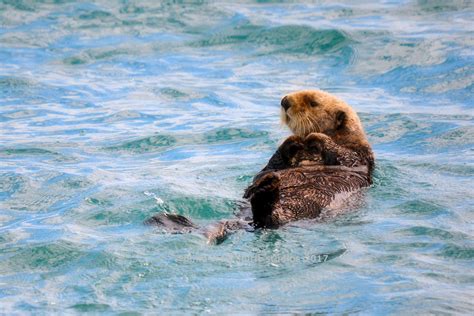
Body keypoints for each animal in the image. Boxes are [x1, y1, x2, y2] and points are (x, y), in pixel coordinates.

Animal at [144, 90, 374, 243]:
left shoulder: (359, 156)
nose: (285, 101)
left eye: (313, 102)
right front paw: (293, 141)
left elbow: (344, 156)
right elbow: (274, 163)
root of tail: (245, 223)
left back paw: (266, 190)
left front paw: (314, 136)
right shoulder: (277, 163)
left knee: (270, 220)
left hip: (296, 210)